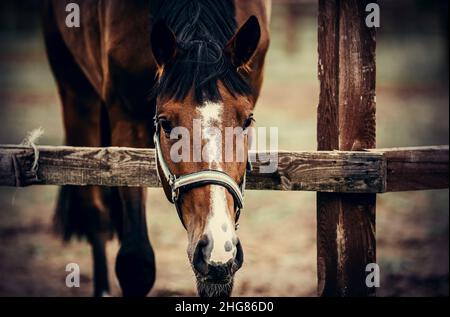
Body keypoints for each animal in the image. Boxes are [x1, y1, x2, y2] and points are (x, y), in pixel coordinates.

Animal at [41, 0, 270, 296]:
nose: (216, 246)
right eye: (165, 123)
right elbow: (136, 263)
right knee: (95, 214)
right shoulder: (126, 120)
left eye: (247, 120)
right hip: (76, 90)